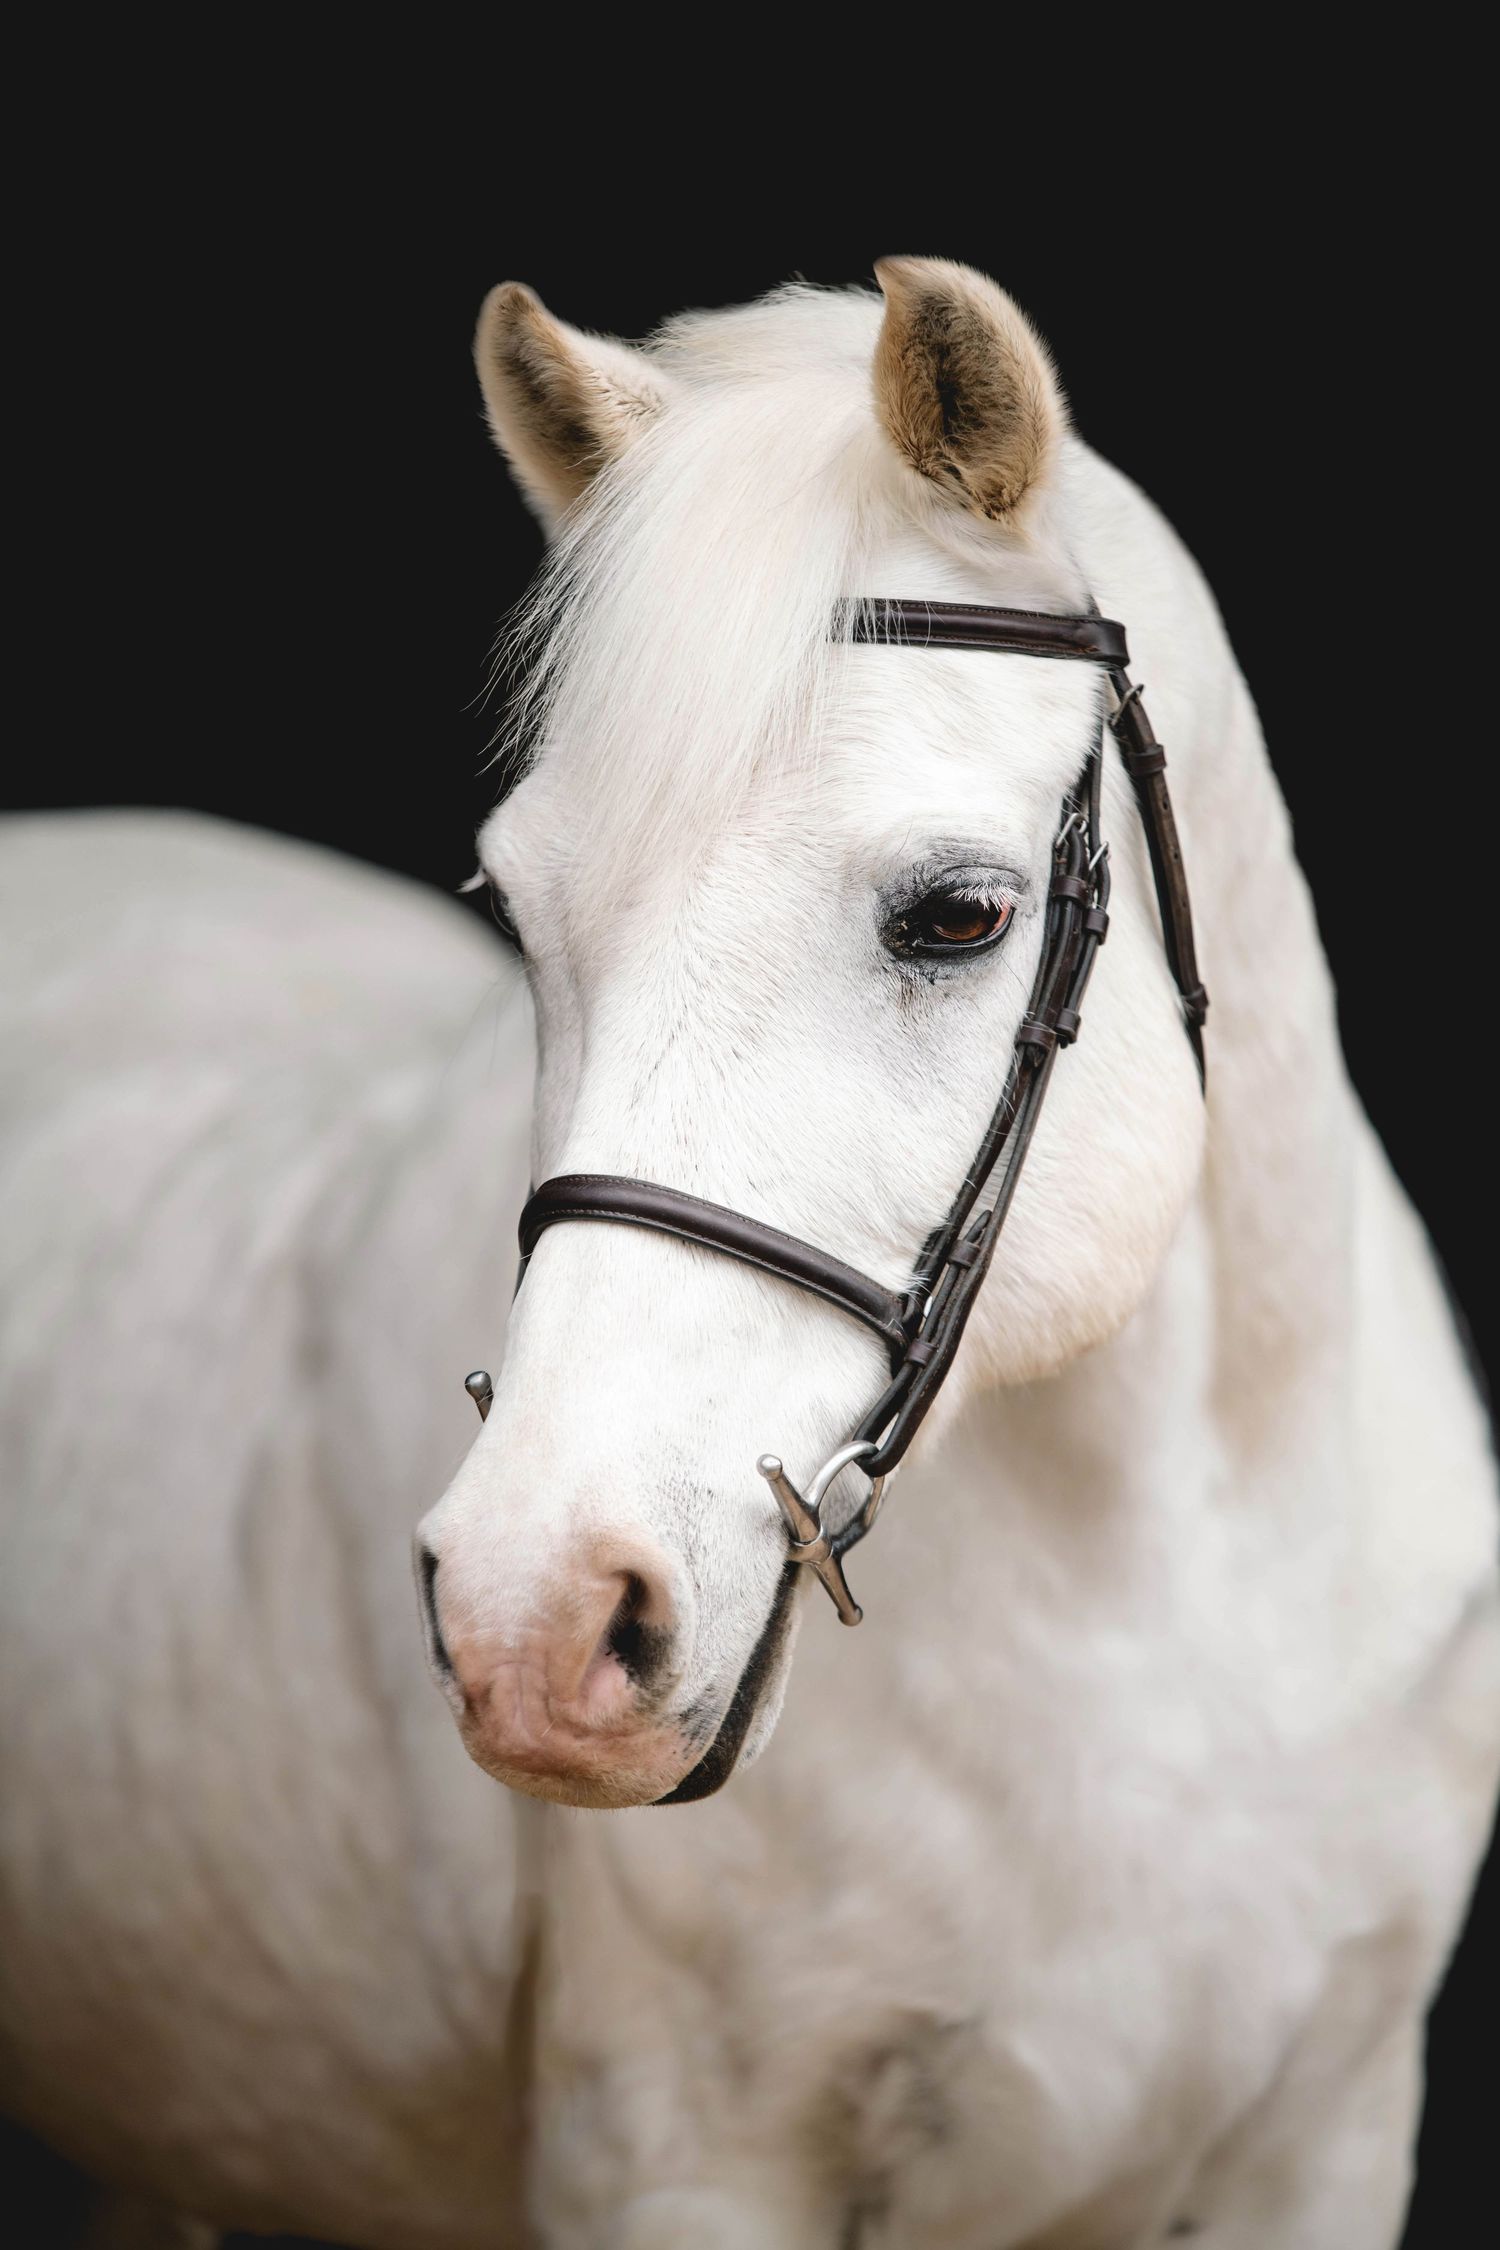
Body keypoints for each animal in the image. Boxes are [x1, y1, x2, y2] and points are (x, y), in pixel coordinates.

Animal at [2, 259, 1496, 2250]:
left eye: (961, 913)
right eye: (523, 902)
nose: (533, 1621)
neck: (1163, 1612)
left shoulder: (1326, 2137)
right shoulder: (685, 2155)